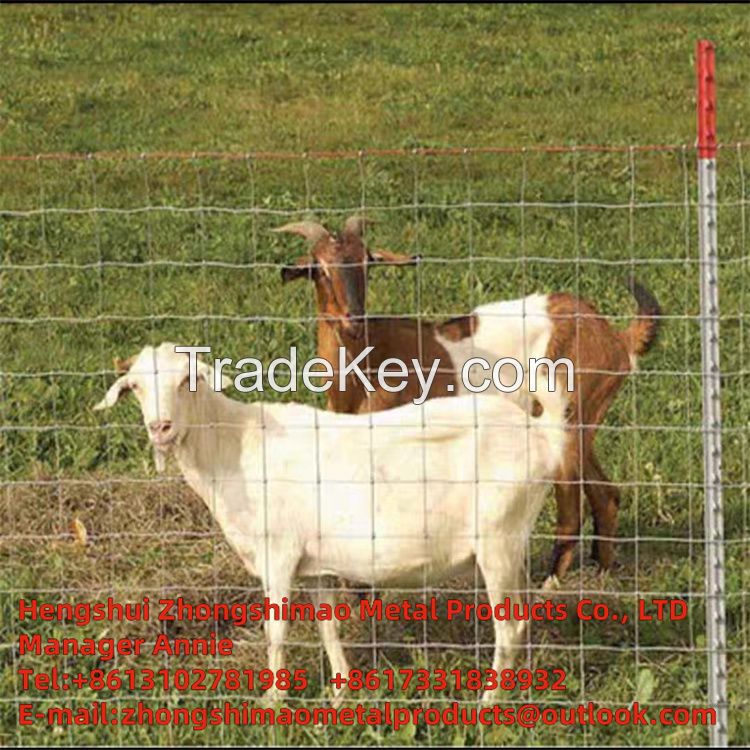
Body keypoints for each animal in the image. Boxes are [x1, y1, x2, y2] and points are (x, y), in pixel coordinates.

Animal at [94, 344, 568, 708]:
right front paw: (340, 694)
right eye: (135, 387)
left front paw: (273, 701)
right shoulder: (315, 563)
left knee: (507, 626)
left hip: (497, 541)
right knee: (522, 618)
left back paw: (488, 702)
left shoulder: (279, 554)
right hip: (511, 546)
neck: (233, 445)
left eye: (187, 380)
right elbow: (327, 626)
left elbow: (276, 630)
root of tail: (542, 436)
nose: (160, 428)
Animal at [278, 214, 664, 584]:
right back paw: (602, 572)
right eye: (319, 268)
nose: (353, 320)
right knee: (606, 494)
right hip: (585, 422)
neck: (364, 369)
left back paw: (550, 584)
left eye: (366, 262)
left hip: (569, 418)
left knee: (571, 510)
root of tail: (615, 337)